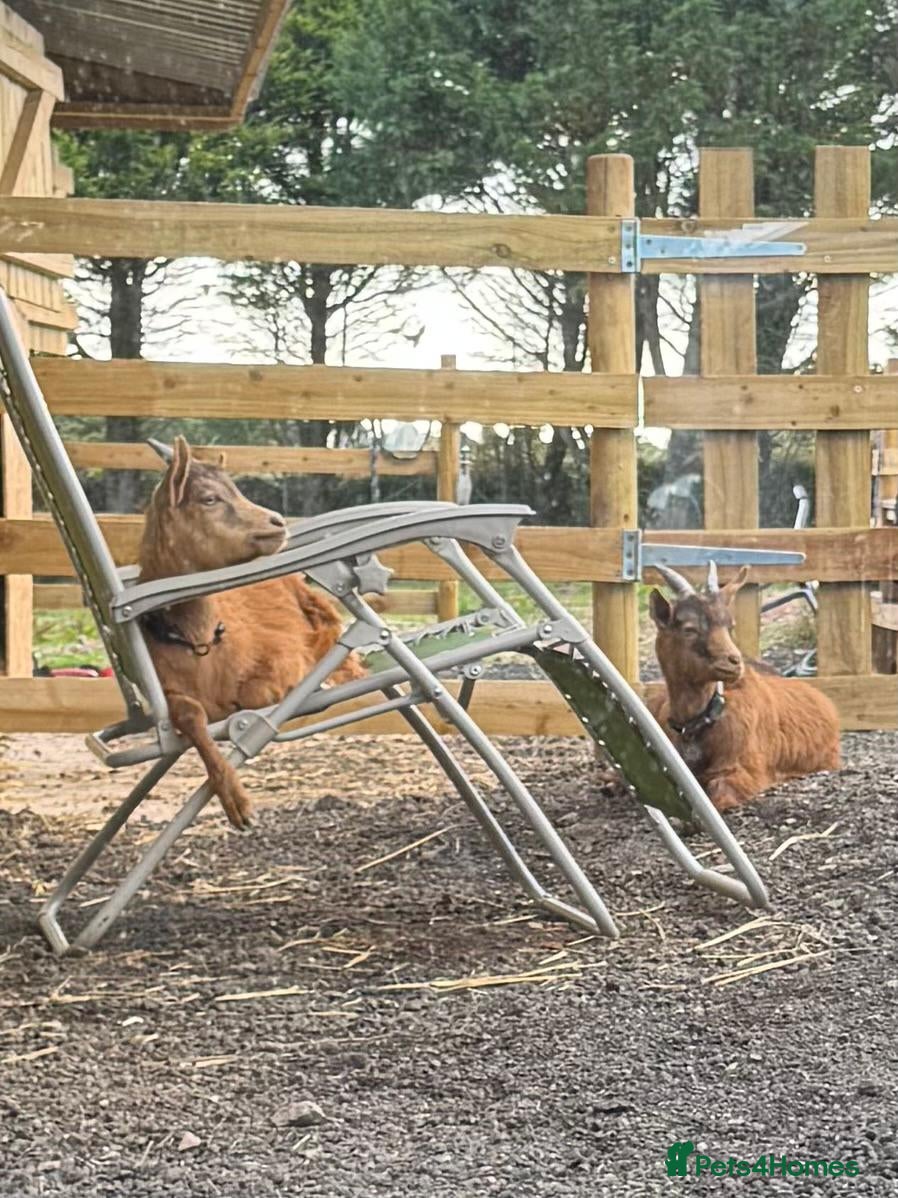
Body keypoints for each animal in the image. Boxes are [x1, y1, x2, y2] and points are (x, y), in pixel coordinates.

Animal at [138, 437, 365, 830]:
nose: (277, 522)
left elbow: (258, 690)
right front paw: (238, 804)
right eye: (209, 498)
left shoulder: (282, 654)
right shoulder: (164, 695)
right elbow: (189, 713)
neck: (201, 647)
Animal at [648, 562, 841, 811]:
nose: (734, 661)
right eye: (689, 629)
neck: (699, 723)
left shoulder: (747, 770)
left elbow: (720, 791)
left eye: (729, 626)